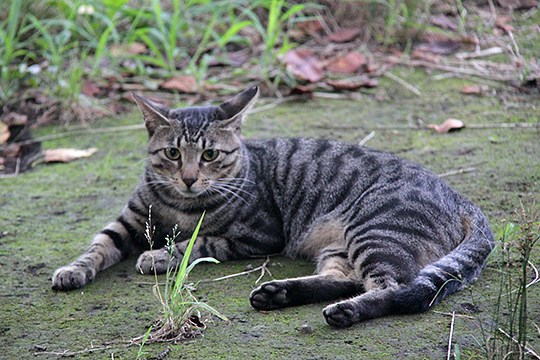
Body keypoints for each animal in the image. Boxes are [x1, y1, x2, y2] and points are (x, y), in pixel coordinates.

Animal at [52, 86, 496, 328]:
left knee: (397, 289)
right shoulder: (129, 220)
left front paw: (159, 255)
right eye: (173, 154)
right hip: (342, 245)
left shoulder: (258, 235)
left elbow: (200, 243)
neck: (180, 204)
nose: (190, 178)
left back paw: (344, 312)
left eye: (210, 155)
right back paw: (278, 293)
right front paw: (73, 270)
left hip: (375, 230)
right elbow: (98, 245)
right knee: (347, 279)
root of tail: (460, 196)